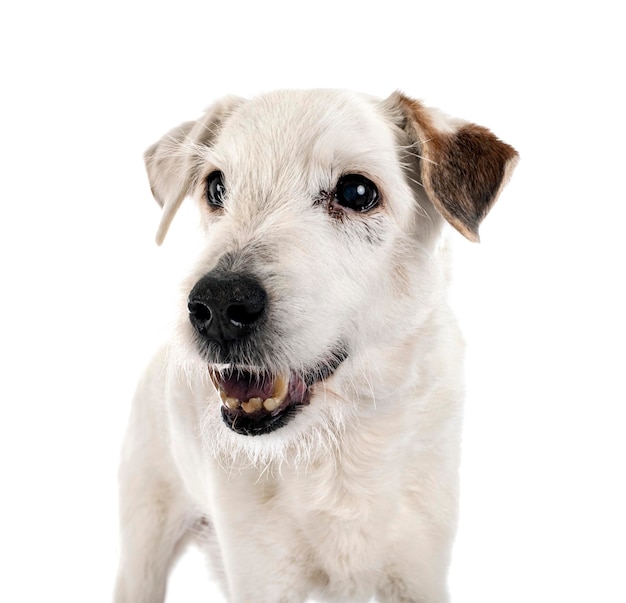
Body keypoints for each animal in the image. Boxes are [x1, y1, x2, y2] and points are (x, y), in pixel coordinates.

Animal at [113, 89, 516, 603]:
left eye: (357, 193)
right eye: (216, 187)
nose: (217, 305)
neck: (339, 443)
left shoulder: (418, 571)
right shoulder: (262, 575)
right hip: (144, 543)